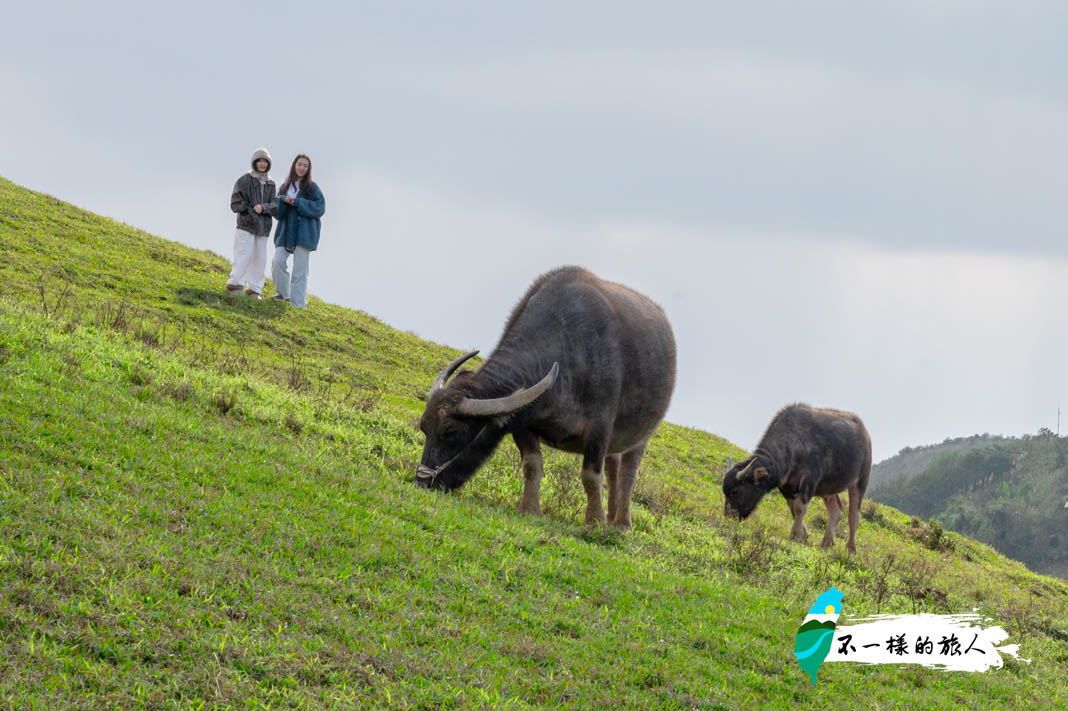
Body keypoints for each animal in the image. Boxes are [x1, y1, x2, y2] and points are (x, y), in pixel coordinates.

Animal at [410, 265, 670, 525]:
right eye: (424, 427)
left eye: (451, 432)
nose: (422, 483)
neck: (568, 351)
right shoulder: (524, 421)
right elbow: (532, 464)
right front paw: (529, 509)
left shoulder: (600, 427)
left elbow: (590, 475)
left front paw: (594, 521)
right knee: (613, 468)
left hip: (640, 436)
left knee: (627, 473)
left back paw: (621, 524)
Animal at [721, 401, 871, 550]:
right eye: (725, 492)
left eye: (735, 491)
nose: (728, 516)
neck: (794, 445)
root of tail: (865, 434)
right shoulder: (786, 487)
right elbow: (793, 508)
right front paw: (803, 535)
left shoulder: (809, 481)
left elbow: (800, 508)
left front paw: (795, 535)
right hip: (828, 489)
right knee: (835, 510)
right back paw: (826, 543)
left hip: (861, 480)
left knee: (854, 515)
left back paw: (851, 548)